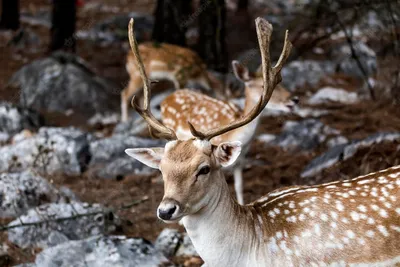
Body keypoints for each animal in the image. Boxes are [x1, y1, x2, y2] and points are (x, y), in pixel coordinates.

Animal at [160, 62, 296, 205]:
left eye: (281, 83)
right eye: (261, 86)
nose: (294, 99)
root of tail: (167, 98)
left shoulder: (240, 161)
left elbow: (239, 187)